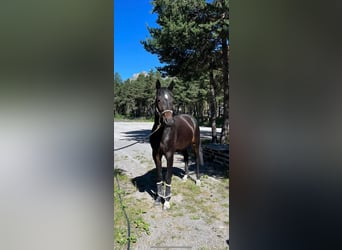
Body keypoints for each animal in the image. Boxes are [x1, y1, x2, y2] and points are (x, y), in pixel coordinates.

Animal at [150, 79, 203, 209]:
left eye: (173, 101)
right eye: (158, 100)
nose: (169, 121)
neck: (162, 132)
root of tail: (191, 118)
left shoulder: (169, 155)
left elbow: (168, 177)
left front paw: (167, 201)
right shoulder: (156, 155)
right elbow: (159, 176)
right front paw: (158, 198)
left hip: (195, 144)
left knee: (196, 160)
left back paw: (198, 181)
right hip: (184, 146)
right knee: (186, 158)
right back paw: (185, 177)